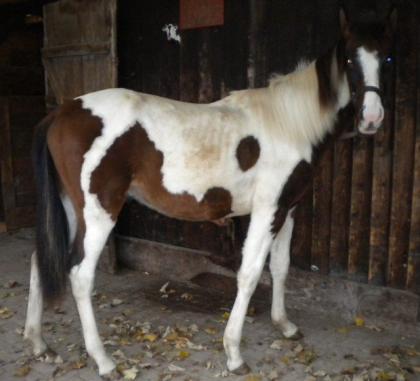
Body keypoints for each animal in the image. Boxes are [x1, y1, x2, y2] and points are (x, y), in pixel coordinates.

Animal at [24, 7, 396, 378]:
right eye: (349, 59)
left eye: (387, 57)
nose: (372, 119)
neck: (289, 126)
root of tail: (60, 113)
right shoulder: (267, 210)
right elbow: (249, 274)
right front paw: (234, 354)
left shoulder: (287, 209)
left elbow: (280, 267)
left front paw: (284, 326)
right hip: (99, 212)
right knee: (80, 275)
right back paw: (103, 360)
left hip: (72, 209)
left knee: (40, 259)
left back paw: (39, 342)